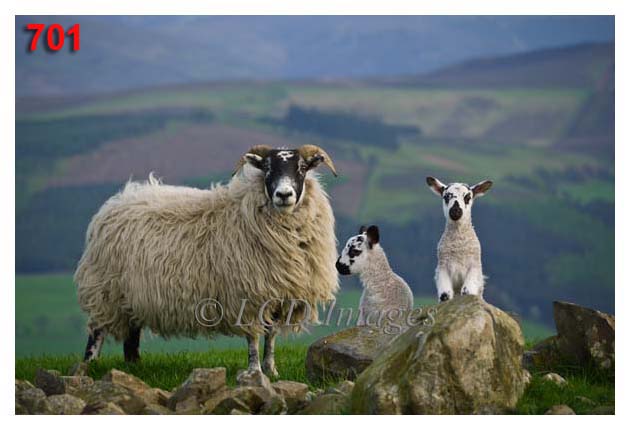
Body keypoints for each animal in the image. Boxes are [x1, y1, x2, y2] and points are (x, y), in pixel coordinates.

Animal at [77, 144, 344, 376]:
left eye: (302, 167)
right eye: (267, 167)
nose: (284, 194)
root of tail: (116, 202)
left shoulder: (279, 296)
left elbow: (271, 337)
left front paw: (272, 371)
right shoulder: (248, 296)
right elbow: (253, 339)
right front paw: (255, 372)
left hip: (132, 296)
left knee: (131, 337)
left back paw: (135, 368)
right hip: (106, 290)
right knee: (96, 331)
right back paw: (89, 365)